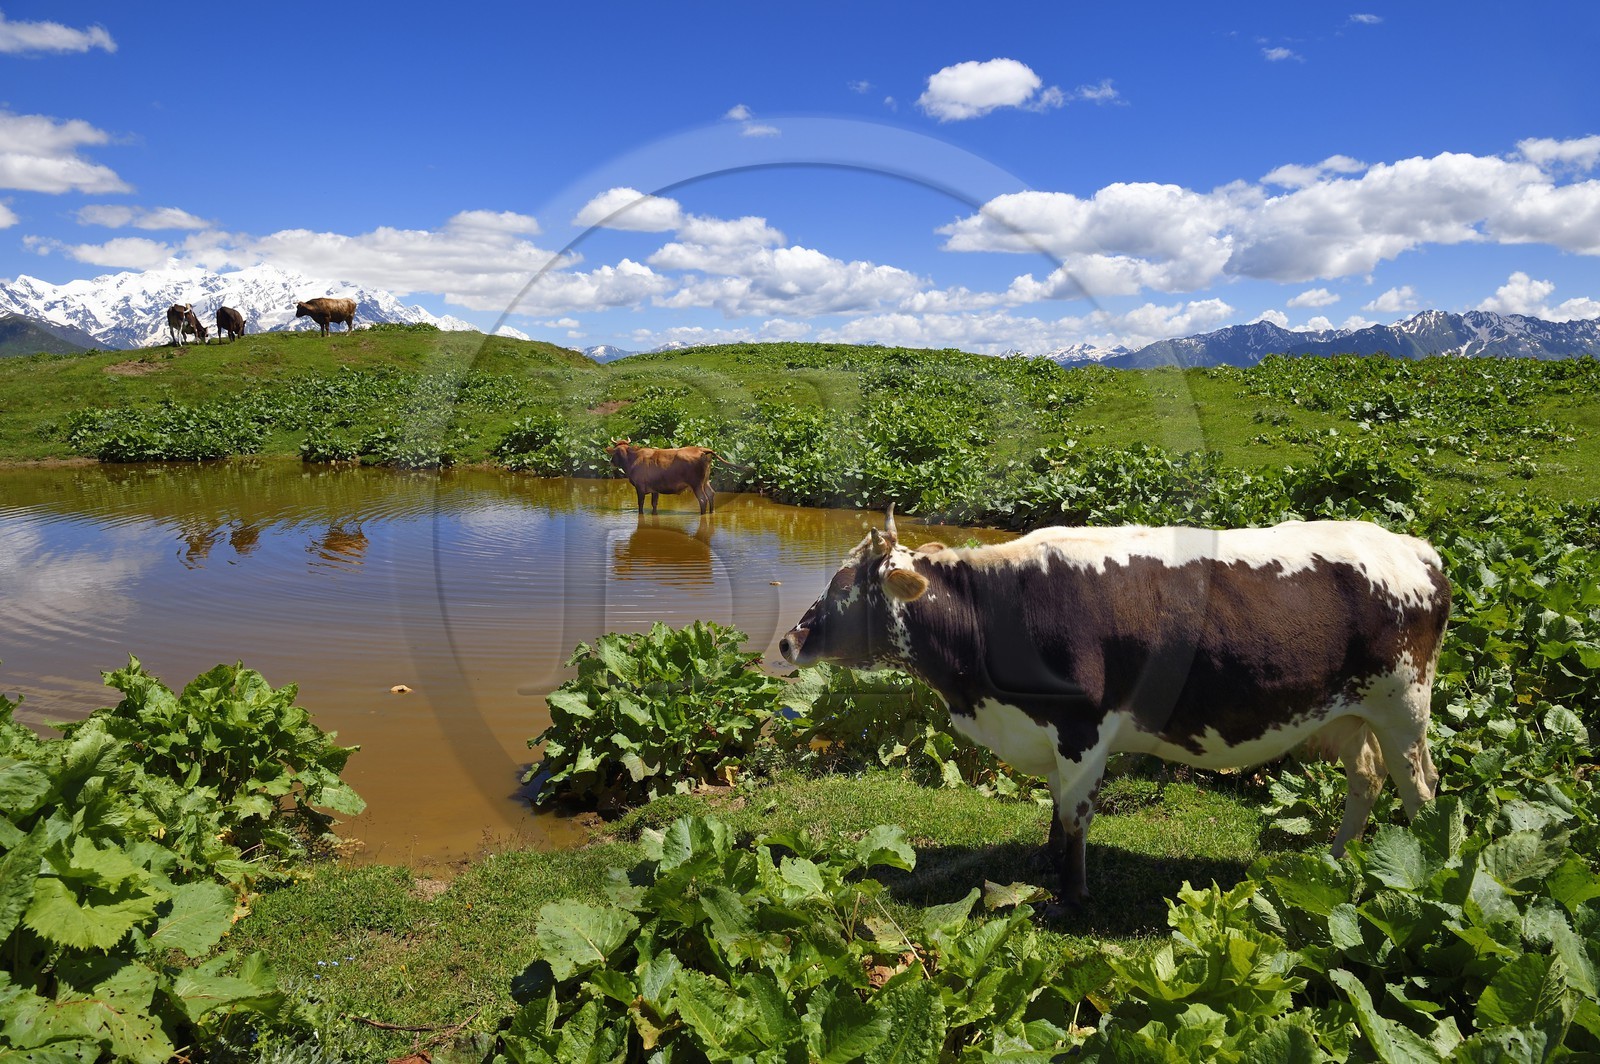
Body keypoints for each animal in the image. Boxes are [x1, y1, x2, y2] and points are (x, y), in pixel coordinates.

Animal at [779, 507, 1450, 904]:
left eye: (842, 587)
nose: (787, 640)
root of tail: (1415, 547)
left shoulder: (1082, 727)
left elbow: (1077, 813)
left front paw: (1071, 895)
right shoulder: (1049, 733)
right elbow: (1056, 806)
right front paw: (1047, 861)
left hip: (1404, 706)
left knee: (1421, 789)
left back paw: (1434, 874)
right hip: (1350, 715)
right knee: (1366, 779)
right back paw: (1333, 863)